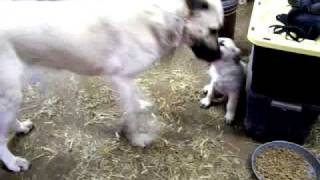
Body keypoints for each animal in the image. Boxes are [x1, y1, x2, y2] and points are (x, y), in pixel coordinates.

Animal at [0, 0, 222, 172]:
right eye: (214, 30)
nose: (219, 56)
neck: (157, 17)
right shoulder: (120, 78)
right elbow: (131, 115)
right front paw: (136, 138)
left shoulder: (127, 79)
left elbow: (134, 101)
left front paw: (140, 106)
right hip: (10, 94)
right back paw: (12, 162)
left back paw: (20, 127)